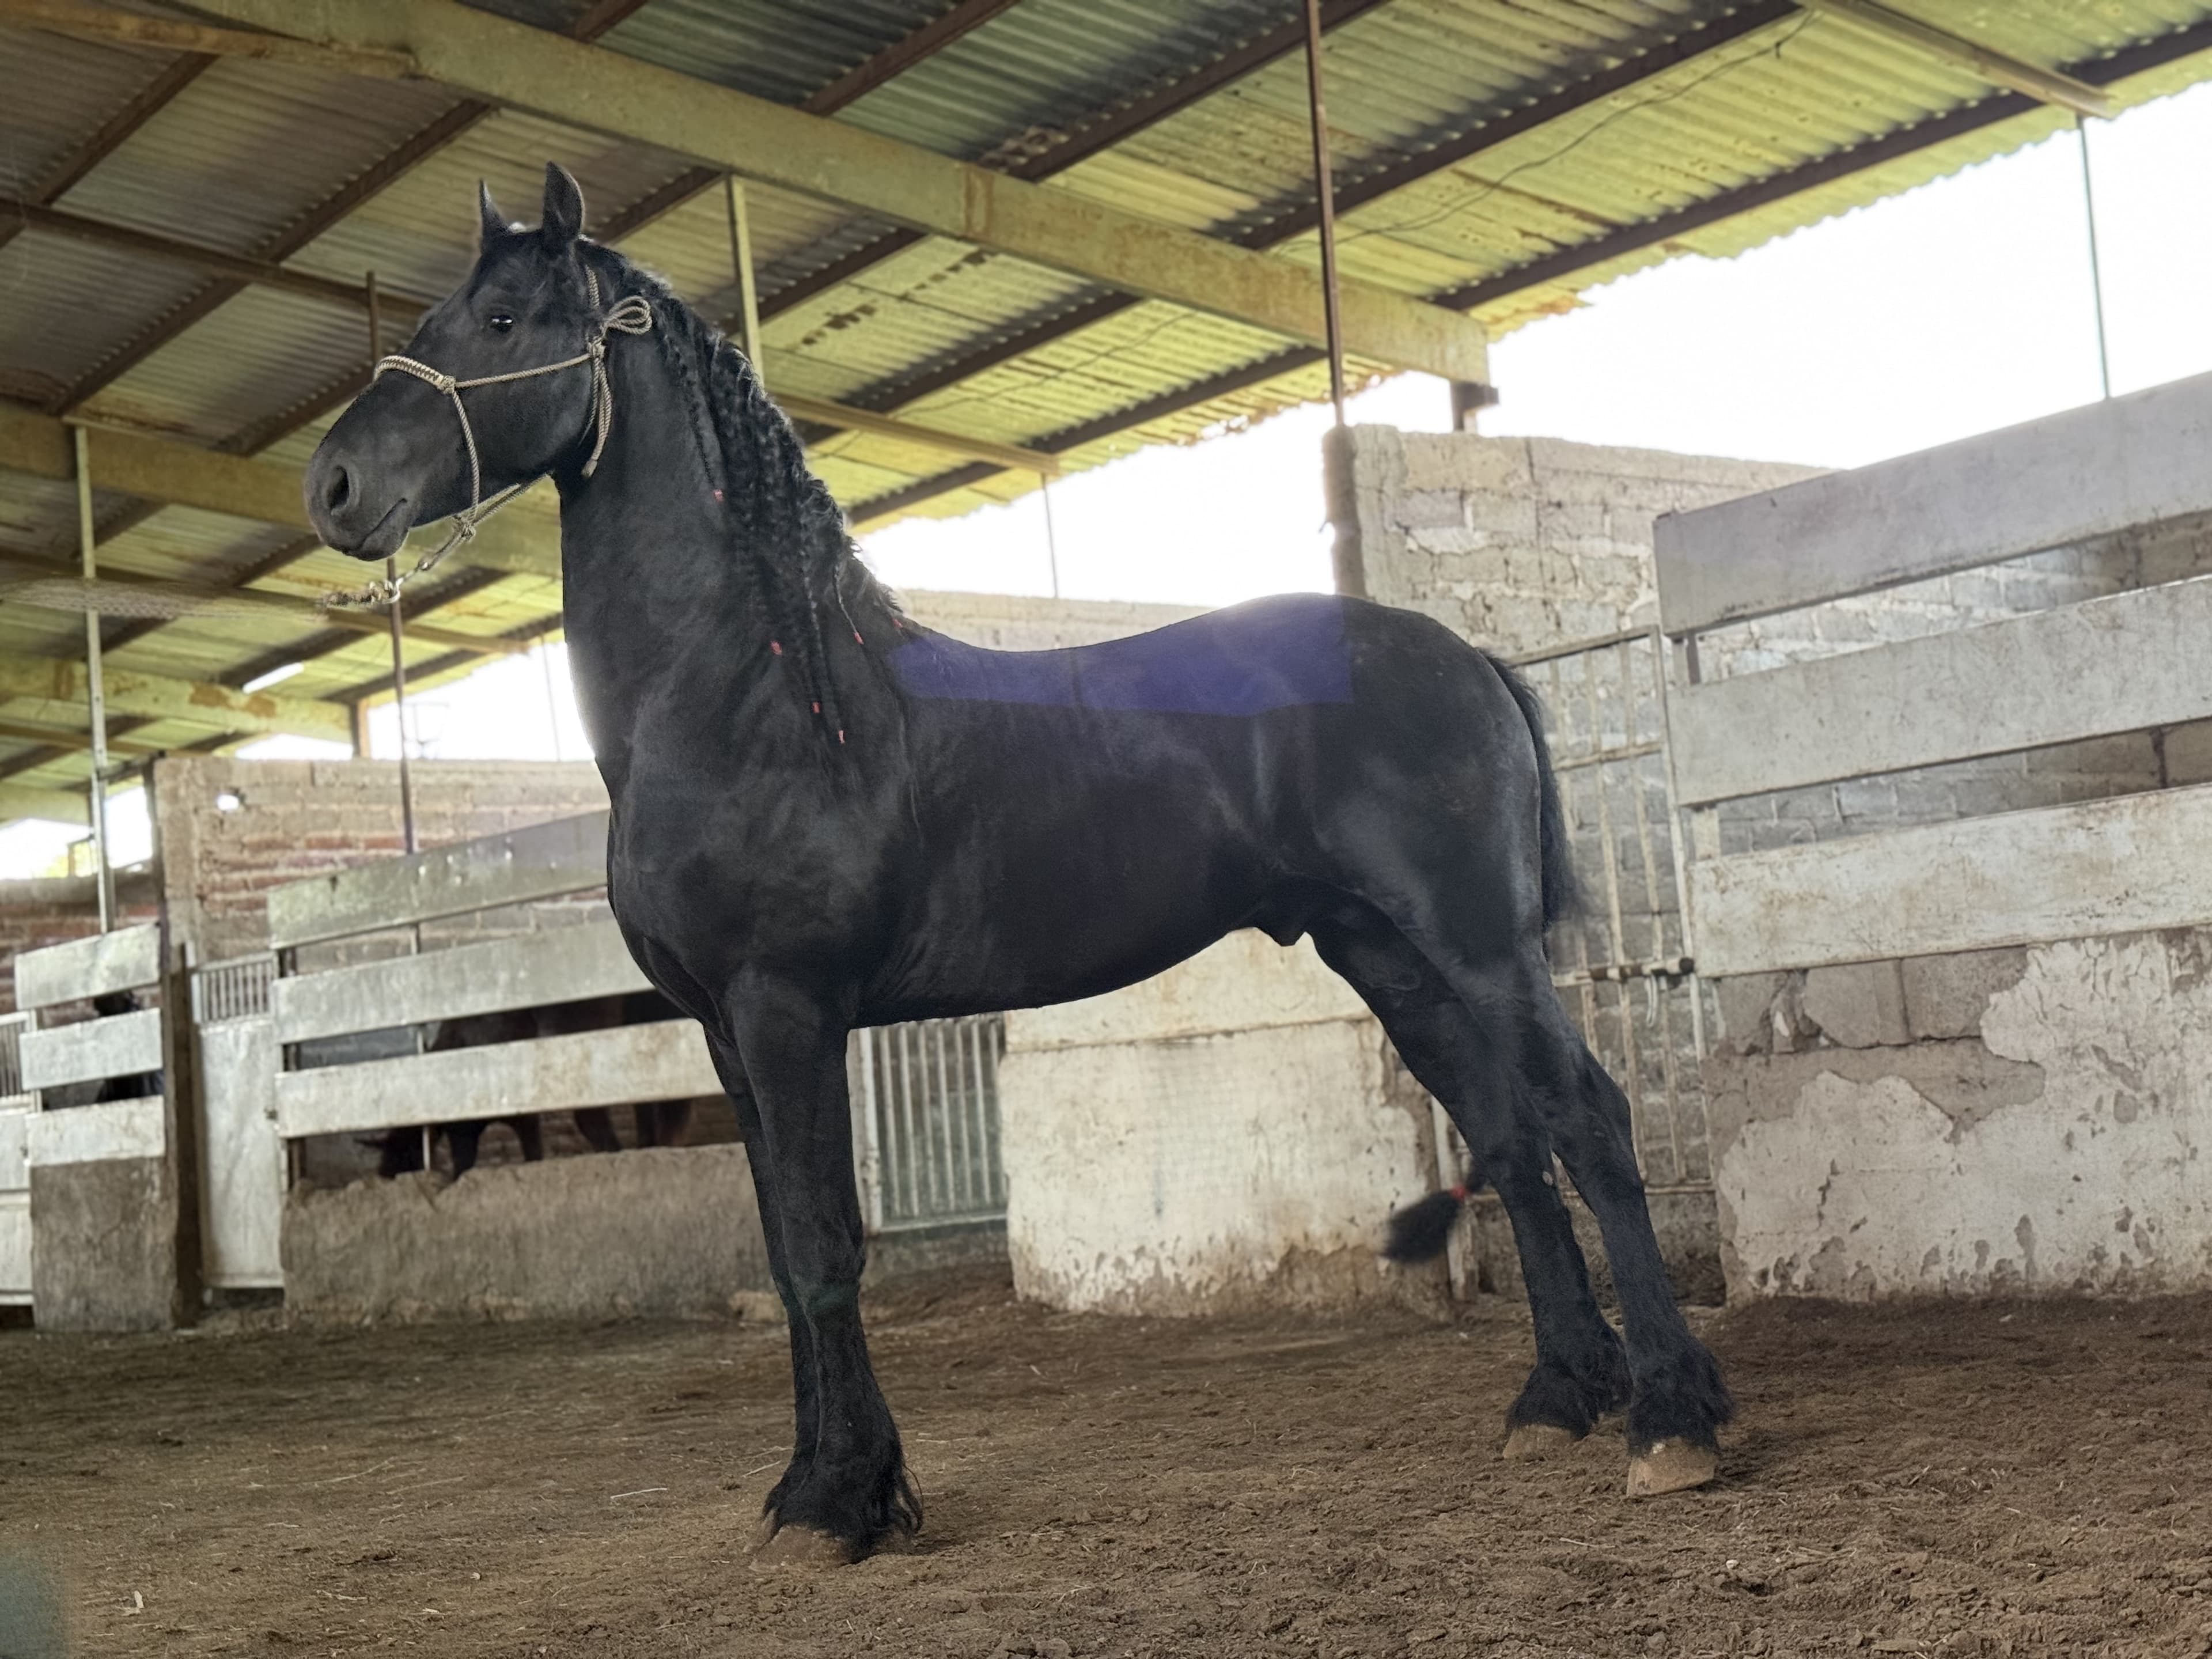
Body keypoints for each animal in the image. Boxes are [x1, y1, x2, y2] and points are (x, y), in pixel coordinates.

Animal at [301, 163, 1733, 1564]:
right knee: (1512, 1138)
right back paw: (1558, 1401)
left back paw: (1672, 1422)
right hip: (1392, 958)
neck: (759, 699)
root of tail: (1467, 654)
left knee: (1587, 1124)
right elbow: (781, 1250)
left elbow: (822, 1246)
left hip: (1480, 951)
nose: (333, 487)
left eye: (498, 322)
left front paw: (845, 1505)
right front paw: (813, 1484)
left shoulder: (787, 1011)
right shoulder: (725, 1033)